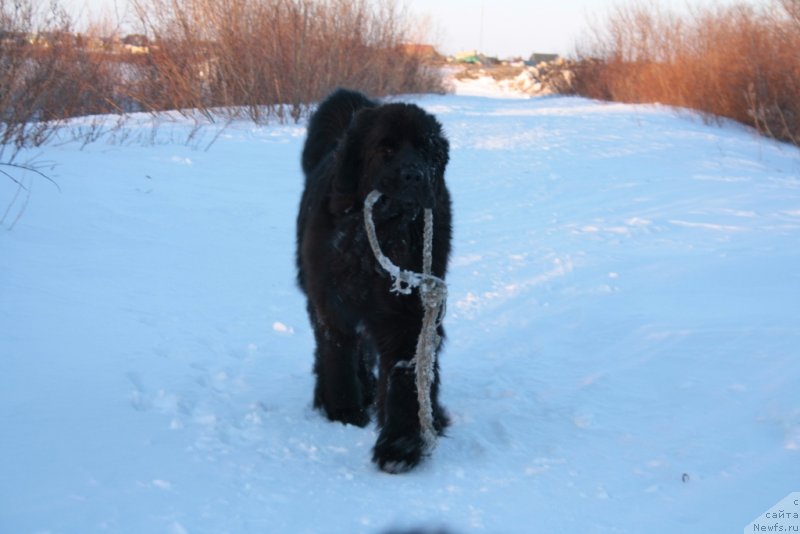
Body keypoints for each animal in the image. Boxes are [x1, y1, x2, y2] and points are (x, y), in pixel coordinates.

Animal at [296, 88, 454, 474]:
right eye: (386, 149)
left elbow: (405, 373)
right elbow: (337, 355)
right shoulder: (332, 305)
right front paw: (344, 410)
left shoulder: (408, 313)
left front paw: (399, 445)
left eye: (427, 150)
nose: (414, 175)